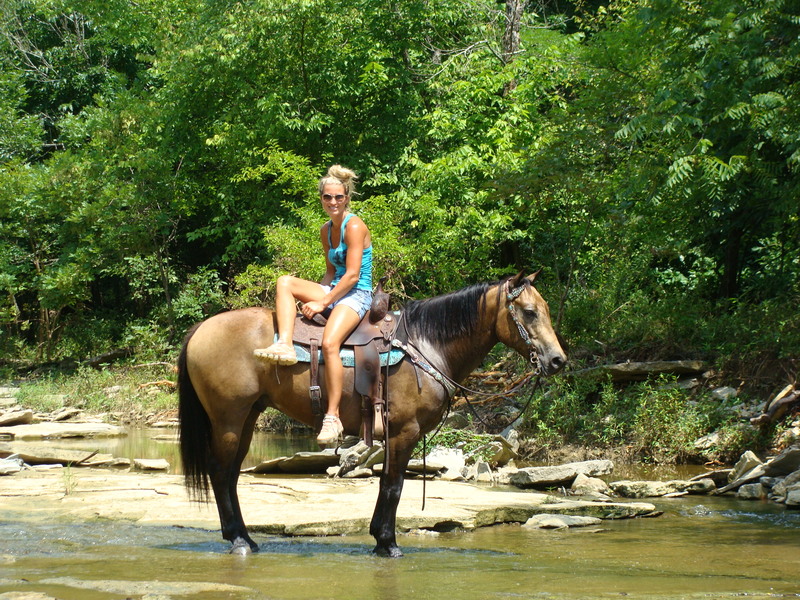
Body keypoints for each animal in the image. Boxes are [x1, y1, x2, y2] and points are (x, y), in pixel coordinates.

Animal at [177, 272, 567, 557]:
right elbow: (394, 486)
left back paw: (246, 538)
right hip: (228, 418)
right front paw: (388, 543)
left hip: (247, 417)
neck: (425, 346)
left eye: (546, 309)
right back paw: (238, 540)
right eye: (529, 312)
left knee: (231, 475)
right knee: (220, 472)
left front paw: (380, 538)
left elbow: (385, 484)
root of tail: (200, 328)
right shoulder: (404, 432)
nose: (557, 360)